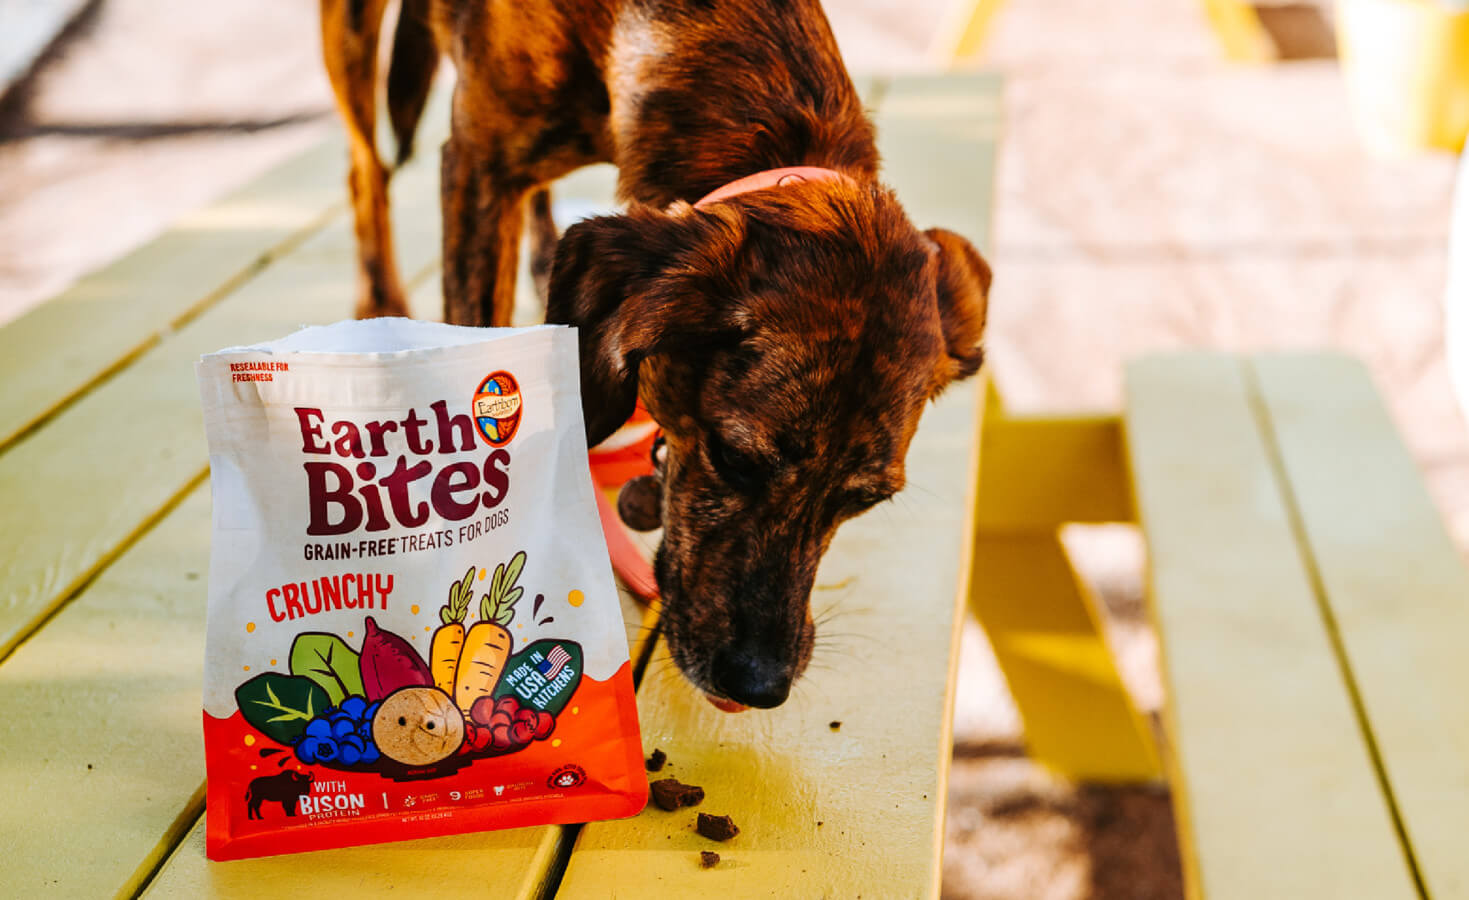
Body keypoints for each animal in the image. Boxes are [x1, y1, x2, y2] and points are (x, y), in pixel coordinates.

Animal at [320, 0, 987, 707]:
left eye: (865, 501)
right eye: (733, 457)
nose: (760, 685)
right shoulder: (479, 167)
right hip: (351, 40)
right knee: (364, 168)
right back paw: (380, 298)